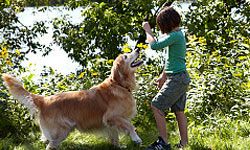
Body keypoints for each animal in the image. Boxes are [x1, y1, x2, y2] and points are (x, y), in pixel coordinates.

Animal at [1, 49, 144, 149]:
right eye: (126, 56)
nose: (137, 49)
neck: (119, 84)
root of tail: (44, 100)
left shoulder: (110, 123)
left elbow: (115, 137)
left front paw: (119, 146)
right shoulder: (112, 116)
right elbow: (130, 126)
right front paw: (136, 138)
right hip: (61, 131)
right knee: (50, 146)